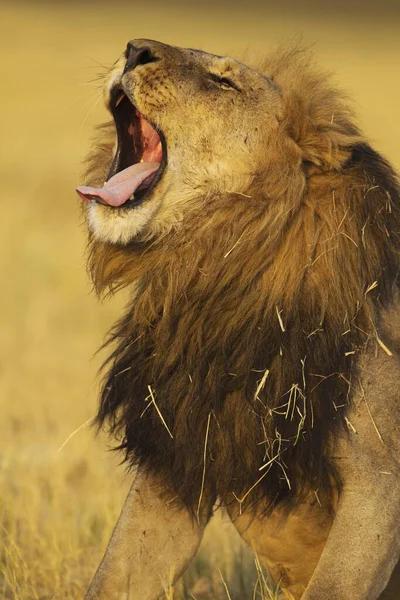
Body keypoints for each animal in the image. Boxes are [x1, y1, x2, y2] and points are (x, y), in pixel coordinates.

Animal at [77, 39, 400, 596]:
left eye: (223, 82)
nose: (134, 48)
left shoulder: (378, 482)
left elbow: (333, 586)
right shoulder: (178, 460)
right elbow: (113, 576)